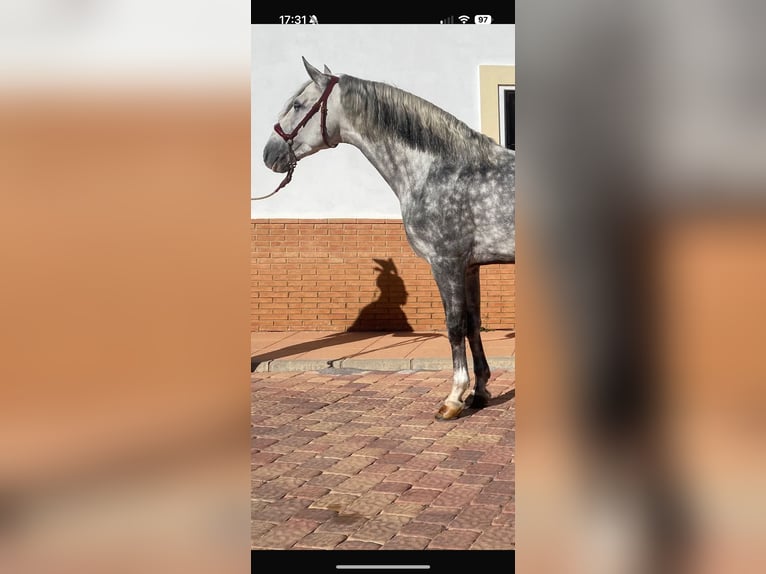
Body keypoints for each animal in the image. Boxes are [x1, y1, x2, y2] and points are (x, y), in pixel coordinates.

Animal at [262, 58, 515, 421]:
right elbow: (473, 323)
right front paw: (479, 393)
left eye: (297, 105)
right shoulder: (470, 267)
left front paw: (453, 399)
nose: (269, 154)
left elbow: (454, 325)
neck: (438, 169)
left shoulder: (446, 262)